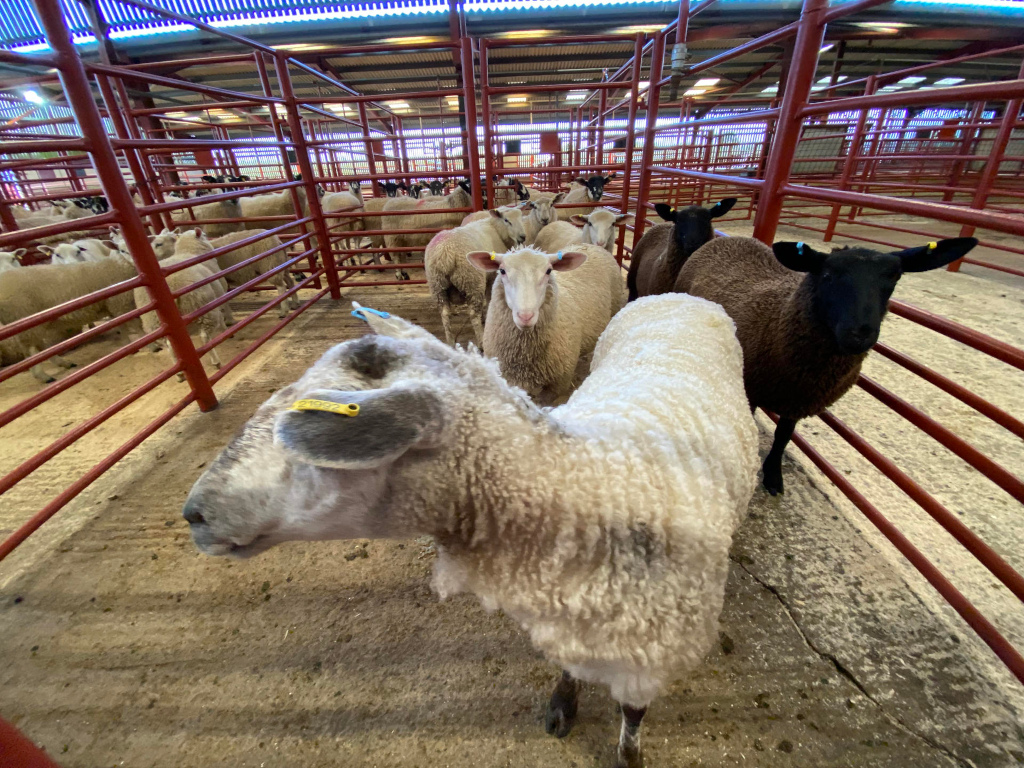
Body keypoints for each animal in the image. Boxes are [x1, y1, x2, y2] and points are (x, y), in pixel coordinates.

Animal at [0, 256, 137, 382]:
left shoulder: (114, 307)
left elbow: (121, 327)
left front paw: (128, 345)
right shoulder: (120, 303)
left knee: (39, 348)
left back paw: (63, 364)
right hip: (26, 320)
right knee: (33, 351)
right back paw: (43, 376)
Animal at [182, 293, 759, 768]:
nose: (194, 515)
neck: (597, 480)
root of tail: (680, 295)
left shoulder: (650, 655)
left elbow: (631, 726)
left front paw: (627, 754)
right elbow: (569, 670)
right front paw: (562, 705)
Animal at [425, 207, 527, 347]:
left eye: (521, 217)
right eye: (507, 220)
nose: (523, 237)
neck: (496, 229)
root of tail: (445, 253)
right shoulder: (492, 275)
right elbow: (489, 299)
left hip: (437, 285)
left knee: (445, 314)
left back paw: (450, 342)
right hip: (472, 280)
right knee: (473, 315)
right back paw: (481, 341)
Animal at [469, 243, 624, 405]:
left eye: (548, 271)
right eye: (502, 271)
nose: (525, 316)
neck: (525, 356)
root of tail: (590, 245)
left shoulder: (557, 386)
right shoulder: (509, 379)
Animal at [675, 235, 978, 495]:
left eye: (894, 277)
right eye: (828, 275)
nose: (859, 333)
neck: (778, 318)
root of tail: (733, 238)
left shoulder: (800, 400)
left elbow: (784, 435)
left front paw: (773, 475)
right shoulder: (750, 390)